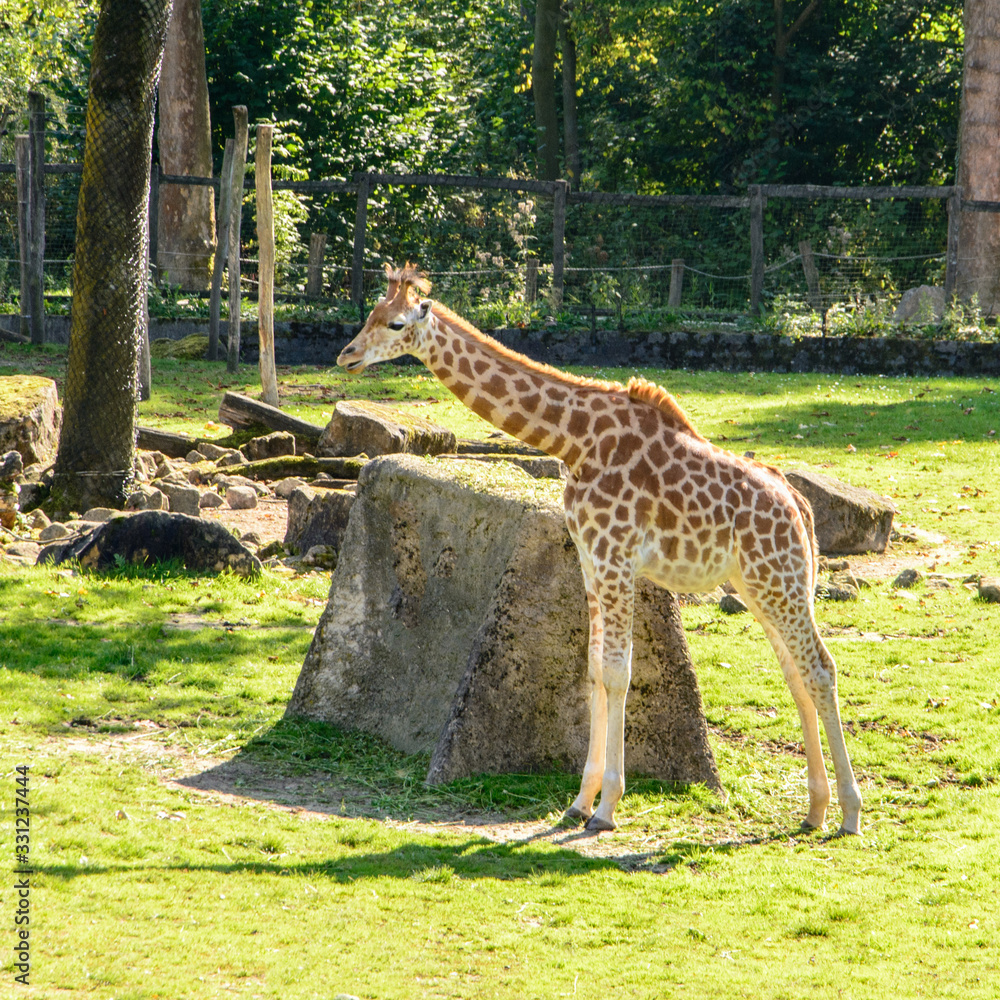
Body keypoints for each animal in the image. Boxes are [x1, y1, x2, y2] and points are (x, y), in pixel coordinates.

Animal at [337, 264, 863, 836]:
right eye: (370, 312)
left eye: (396, 322)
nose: (346, 355)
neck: (574, 441)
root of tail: (800, 506)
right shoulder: (589, 558)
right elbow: (592, 671)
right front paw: (580, 801)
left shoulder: (617, 559)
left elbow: (618, 672)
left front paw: (608, 807)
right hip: (759, 585)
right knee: (797, 675)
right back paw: (815, 810)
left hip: (779, 582)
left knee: (822, 668)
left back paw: (850, 813)